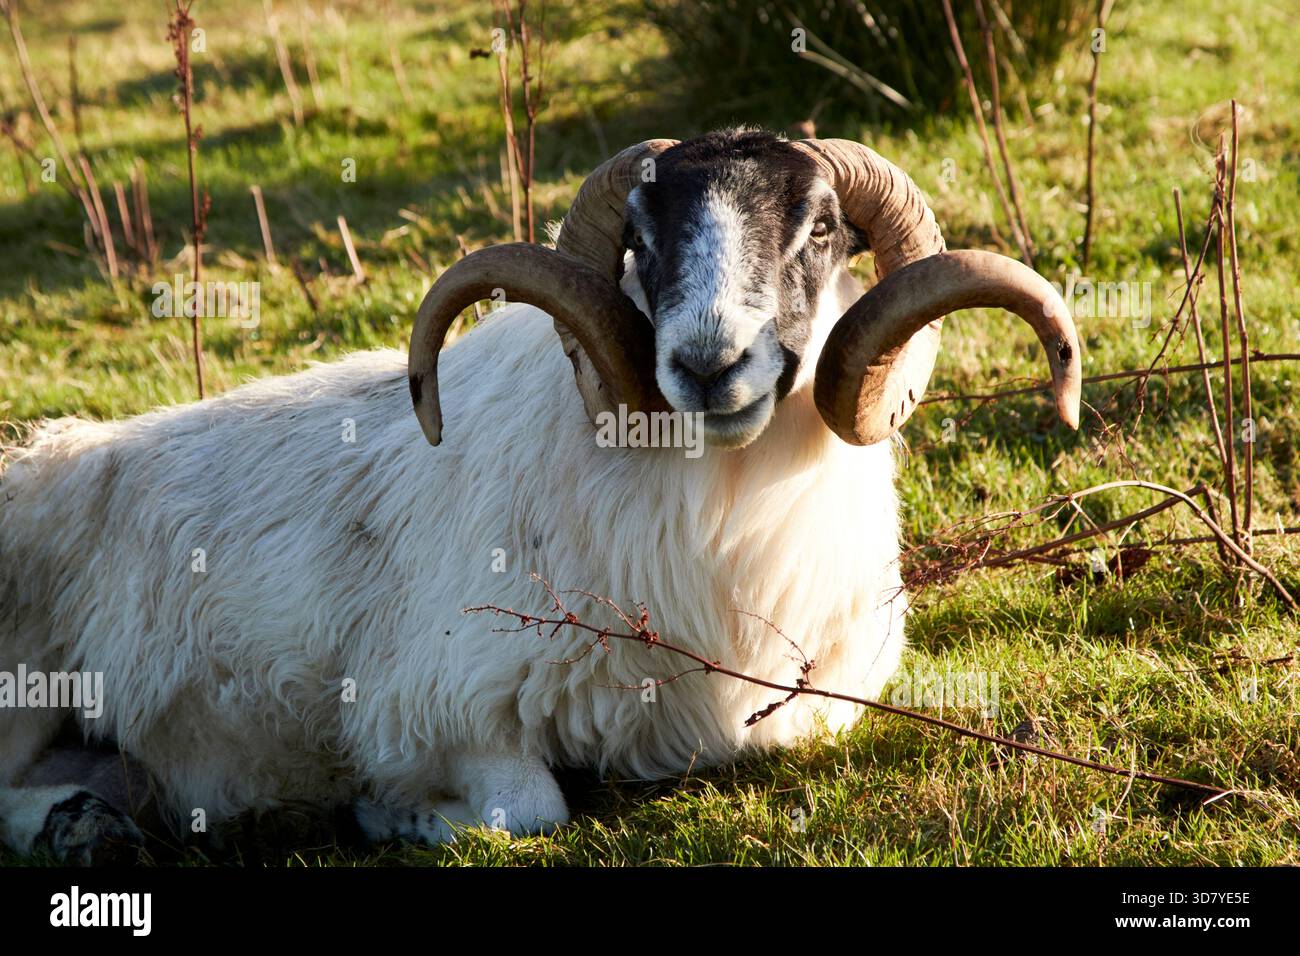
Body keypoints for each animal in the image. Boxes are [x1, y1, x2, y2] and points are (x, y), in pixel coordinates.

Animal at [0, 128, 1080, 863]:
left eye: (820, 229)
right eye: (641, 239)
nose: (708, 367)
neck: (718, 513)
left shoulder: (811, 701)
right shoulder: (434, 702)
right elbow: (528, 808)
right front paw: (393, 810)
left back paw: (98, 815)